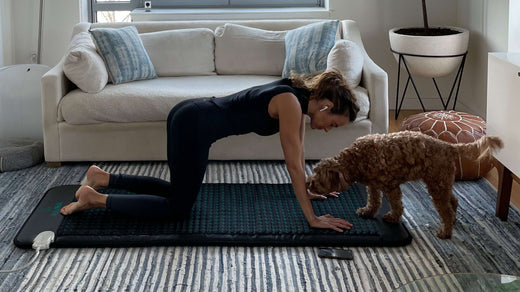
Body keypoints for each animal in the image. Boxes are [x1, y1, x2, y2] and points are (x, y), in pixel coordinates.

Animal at [306, 131, 502, 238]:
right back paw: (453, 220)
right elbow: (373, 201)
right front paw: (368, 212)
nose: (308, 183)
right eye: (314, 170)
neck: (357, 158)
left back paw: (445, 232)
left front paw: (393, 218)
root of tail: (448, 146)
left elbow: (396, 205)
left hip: (437, 184)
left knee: (445, 209)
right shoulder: (373, 185)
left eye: (318, 177)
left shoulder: (391, 186)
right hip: (442, 182)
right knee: (453, 201)